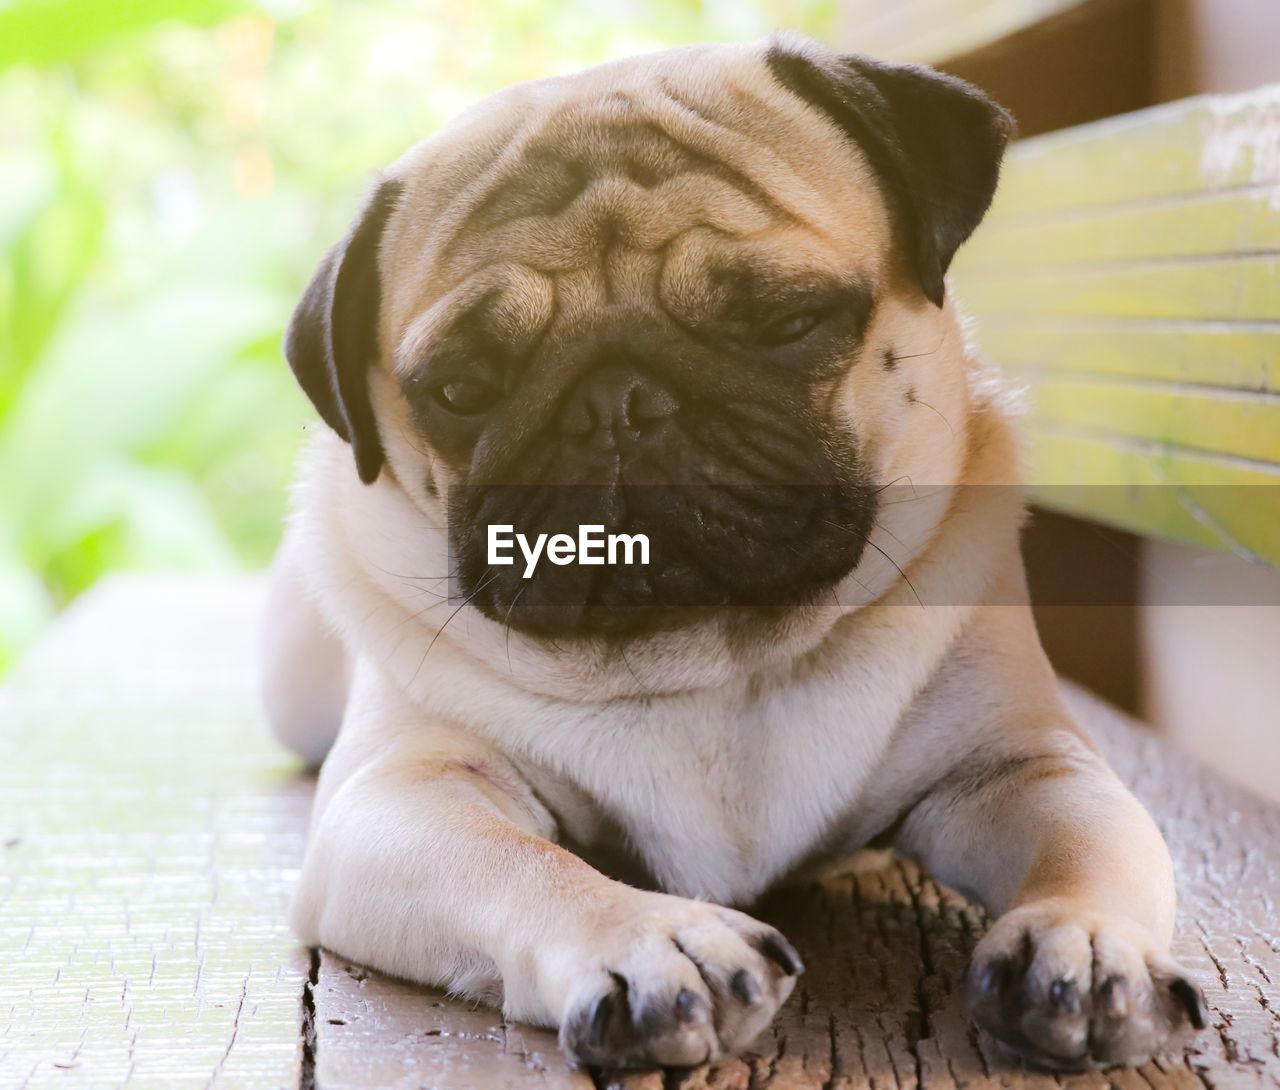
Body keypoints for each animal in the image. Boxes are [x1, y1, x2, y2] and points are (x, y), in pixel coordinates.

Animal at [257, 36, 1198, 1074]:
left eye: (789, 322)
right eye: (461, 388)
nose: (615, 402)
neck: (710, 660)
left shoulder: (1020, 766)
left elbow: (1086, 846)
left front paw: (1086, 941)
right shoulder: (405, 796)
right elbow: (525, 863)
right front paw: (648, 939)